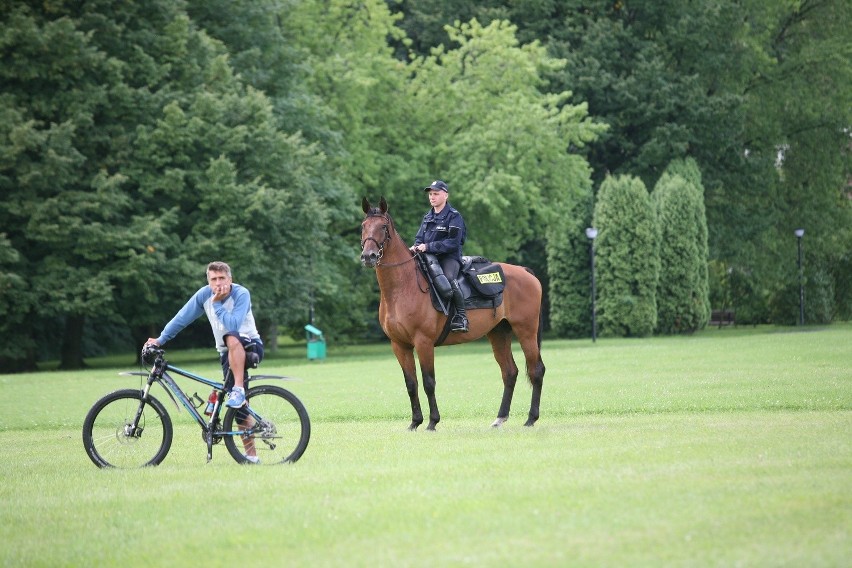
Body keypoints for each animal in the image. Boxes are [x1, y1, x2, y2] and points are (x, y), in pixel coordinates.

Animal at [360, 196, 544, 430]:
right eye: (363, 226)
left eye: (383, 227)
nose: (369, 256)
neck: (403, 287)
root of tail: (525, 272)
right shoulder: (399, 345)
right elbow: (411, 384)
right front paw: (415, 422)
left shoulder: (423, 342)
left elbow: (429, 382)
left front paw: (432, 422)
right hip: (498, 333)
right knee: (510, 372)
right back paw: (500, 418)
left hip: (526, 331)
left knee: (536, 370)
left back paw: (531, 418)